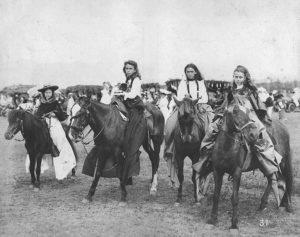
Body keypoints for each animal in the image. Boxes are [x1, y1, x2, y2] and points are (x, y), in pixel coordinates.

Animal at [202, 93, 292, 231]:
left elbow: (235, 198)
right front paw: (212, 220)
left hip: (281, 162)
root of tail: (282, 127)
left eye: (249, 111)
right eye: (234, 111)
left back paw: (287, 206)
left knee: (284, 178)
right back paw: (264, 204)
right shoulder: (217, 171)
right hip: (264, 164)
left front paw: (234, 224)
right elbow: (216, 196)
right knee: (272, 179)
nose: (254, 134)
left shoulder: (237, 173)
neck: (227, 148)